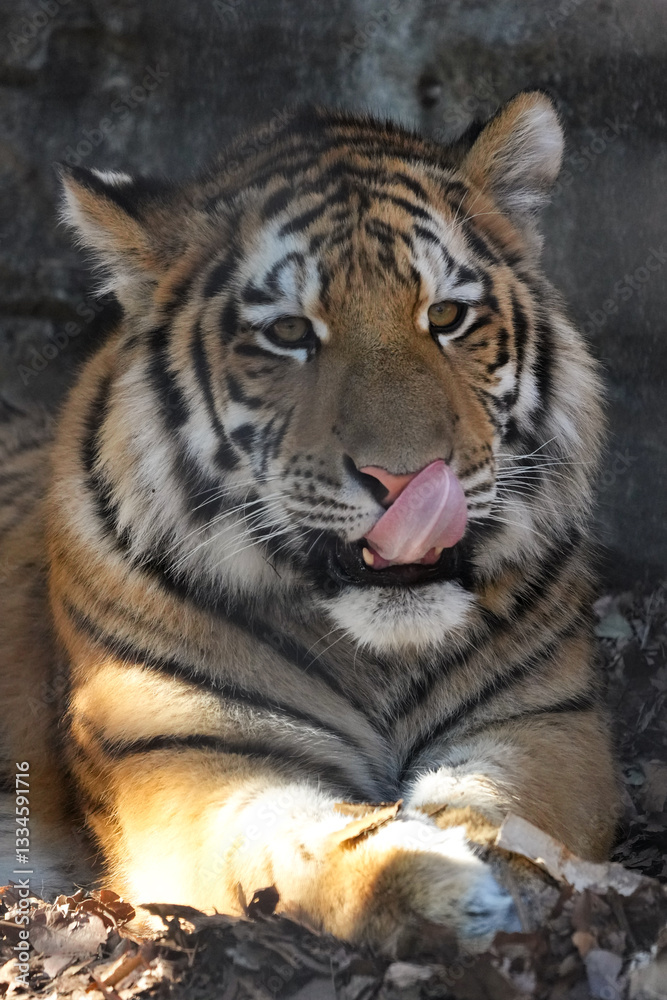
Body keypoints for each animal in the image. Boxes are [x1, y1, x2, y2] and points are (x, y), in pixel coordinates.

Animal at [0, 90, 620, 954]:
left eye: (447, 316)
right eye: (289, 333)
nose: (405, 479)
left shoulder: (546, 721)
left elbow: (503, 807)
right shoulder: (180, 742)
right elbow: (286, 835)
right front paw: (438, 886)